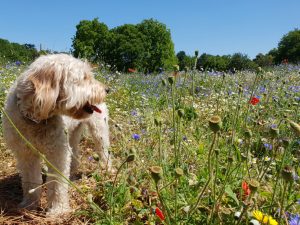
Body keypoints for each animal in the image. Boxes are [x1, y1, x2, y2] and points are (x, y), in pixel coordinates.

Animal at [1, 54, 112, 214]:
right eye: (84, 77)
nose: (107, 90)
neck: (36, 120)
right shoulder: (26, 155)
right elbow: (30, 182)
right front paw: (29, 204)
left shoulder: (58, 153)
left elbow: (57, 184)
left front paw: (58, 209)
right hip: (72, 136)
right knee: (75, 156)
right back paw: (72, 176)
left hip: (99, 131)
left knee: (105, 153)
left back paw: (109, 172)